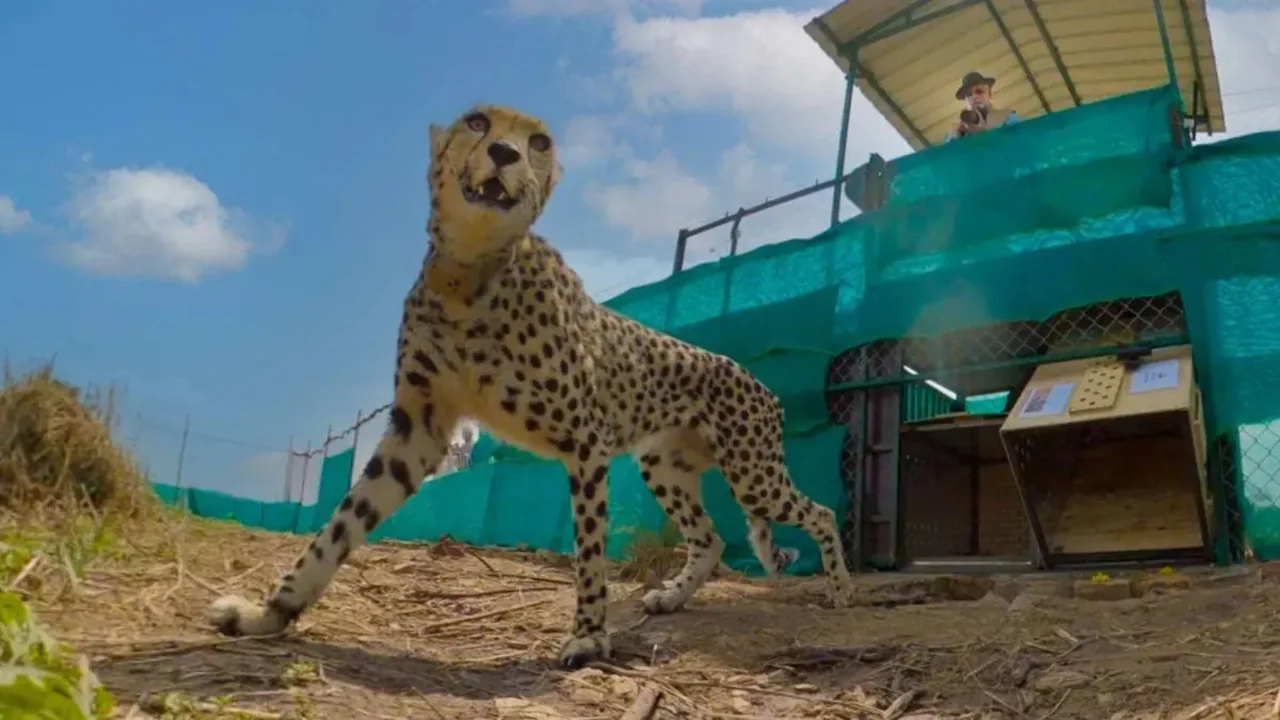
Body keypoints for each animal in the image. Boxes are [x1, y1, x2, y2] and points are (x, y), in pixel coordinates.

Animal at [207, 104, 857, 669]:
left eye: (538, 141)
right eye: (477, 122)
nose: (504, 152)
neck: (470, 271)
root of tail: (758, 379)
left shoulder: (586, 442)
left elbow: (590, 551)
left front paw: (589, 639)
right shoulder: (420, 429)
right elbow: (339, 527)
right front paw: (269, 614)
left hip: (752, 474)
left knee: (821, 511)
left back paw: (841, 589)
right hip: (665, 466)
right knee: (713, 539)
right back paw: (673, 596)